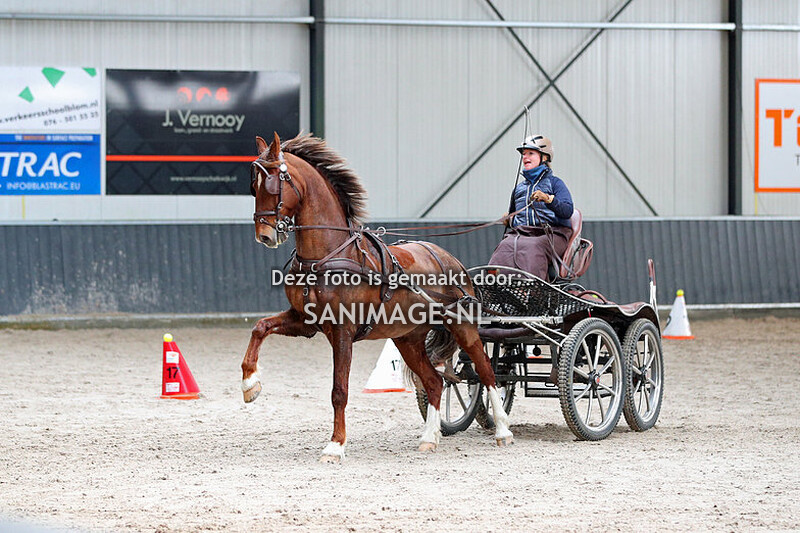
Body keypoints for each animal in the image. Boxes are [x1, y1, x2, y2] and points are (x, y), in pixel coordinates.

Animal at [241, 132, 513, 463]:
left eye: (275, 184)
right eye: (253, 187)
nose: (265, 236)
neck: (326, 255)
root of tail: (451, 259)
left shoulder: (342, 331)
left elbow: (339, 391)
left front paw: (335, 445)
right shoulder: (305, 321)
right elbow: (260, 328)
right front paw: (250, 384)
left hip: (463, 327)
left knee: (486, 372)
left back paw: (502, 431)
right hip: (408, 338)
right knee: (434, 382)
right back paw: (429, 438)